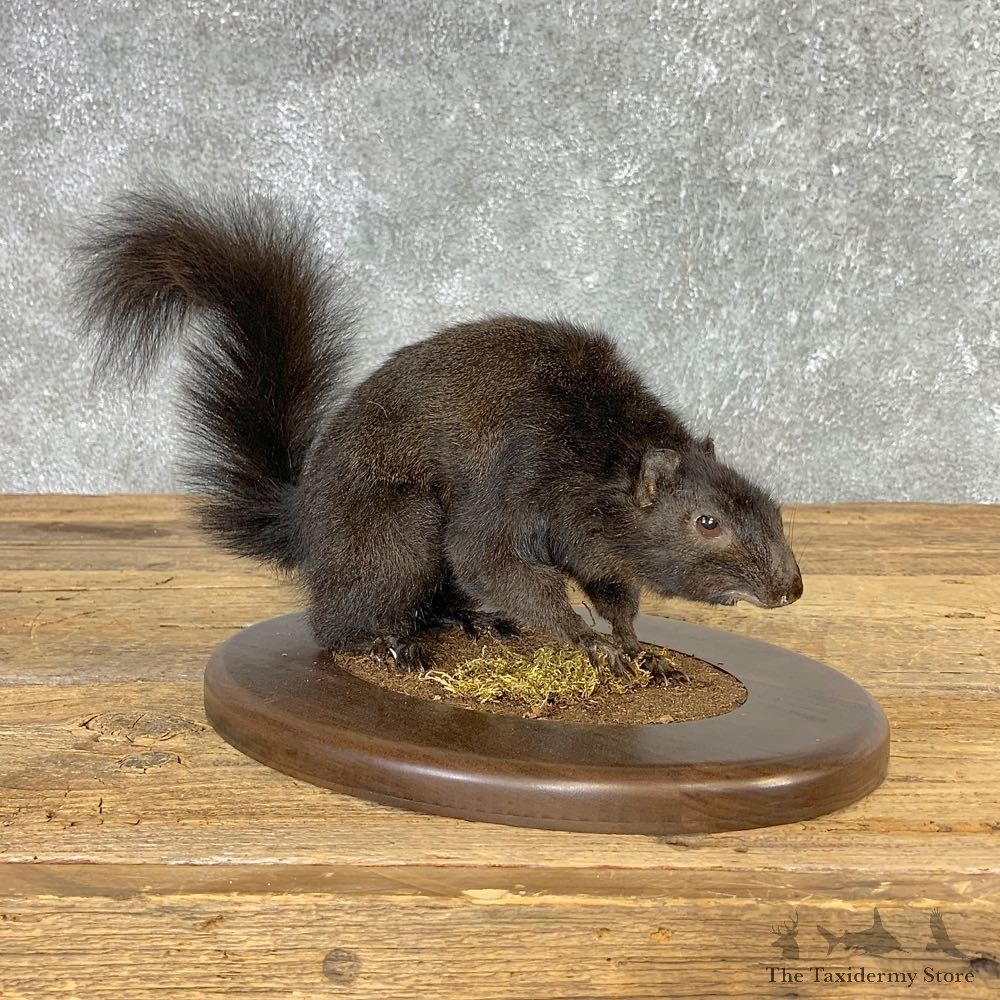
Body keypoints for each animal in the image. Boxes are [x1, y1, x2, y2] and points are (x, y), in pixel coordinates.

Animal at [74, 187, 803, 676]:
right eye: (707, 523)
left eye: (772, 505)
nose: (791, 589)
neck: (603, 446)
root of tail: (306, 523)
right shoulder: (522, 477)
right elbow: (490, 558)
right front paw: (586, 641)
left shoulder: (600, 549)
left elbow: (616, 593)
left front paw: (635, 647)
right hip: (396, 531)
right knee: (337, 621)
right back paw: (387, 644)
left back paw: (481, 623)